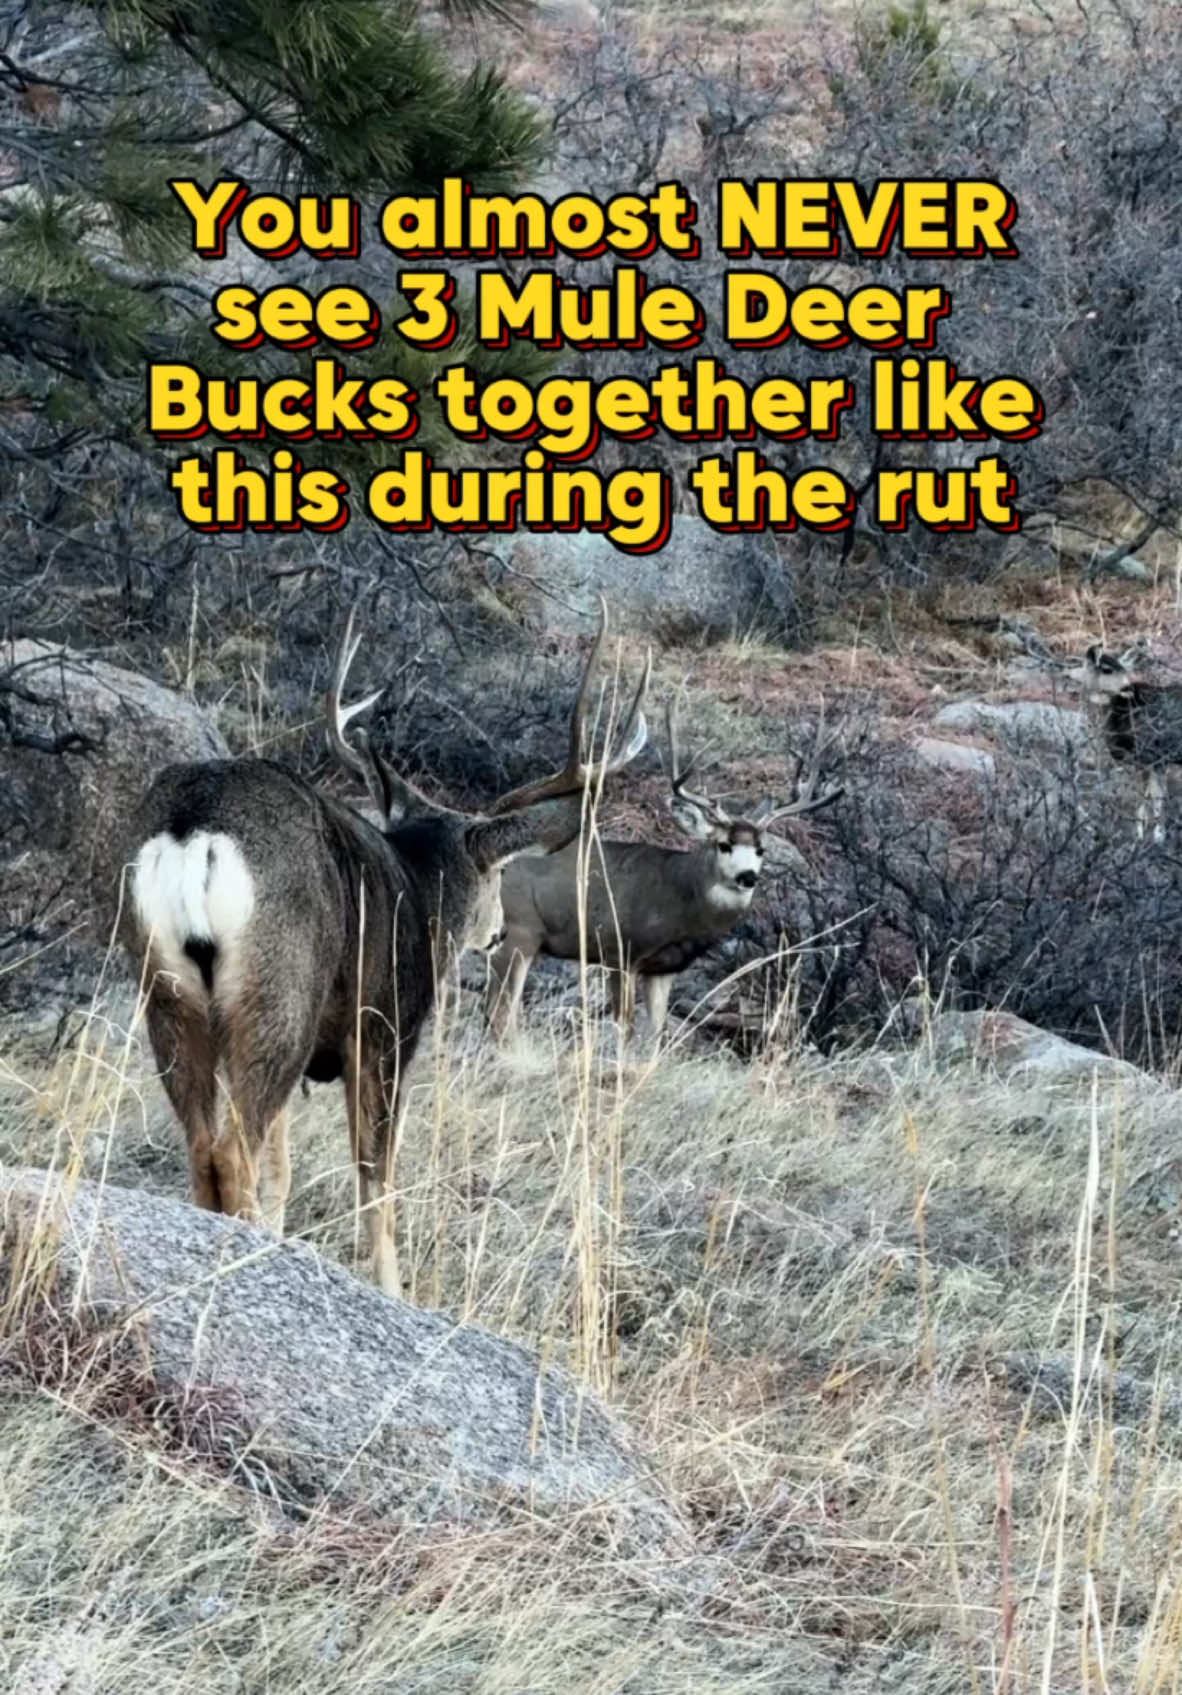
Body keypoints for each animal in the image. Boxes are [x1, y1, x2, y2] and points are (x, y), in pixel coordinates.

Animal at [485, 688, 844, 1044]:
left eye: (761, 850)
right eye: (723, 844)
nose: (748, 877)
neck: (678, 899)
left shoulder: (663, 969)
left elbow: (657, 1034)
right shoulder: (620, 950)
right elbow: (625, 1028)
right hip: (519, 929)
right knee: (501, 1014)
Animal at [1064, 640, 1180, 840]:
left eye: (1125, 668)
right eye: (1106, 669)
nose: (1128, 688)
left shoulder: (1146, 755)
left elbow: (1147, 796)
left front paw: (1144, 835)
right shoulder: (1156, 760)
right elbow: (1155, 796)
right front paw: (1155, 834)